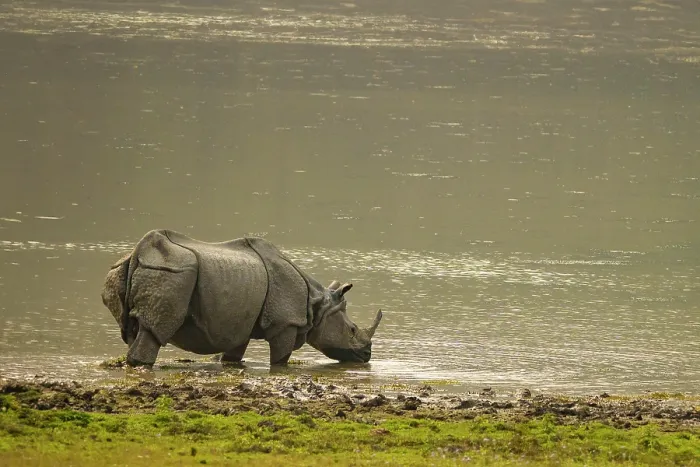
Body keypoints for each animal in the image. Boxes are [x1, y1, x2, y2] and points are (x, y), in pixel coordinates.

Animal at [101, 229, 383, 367]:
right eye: (352, 330)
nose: (367, 355)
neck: (317, 305)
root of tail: (140, 251)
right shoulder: (285, 323)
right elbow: (280, 359)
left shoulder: (239, 324)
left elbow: (234, 353)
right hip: (172, 273)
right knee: (156, 329)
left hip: (126, 270)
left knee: (137, 330)